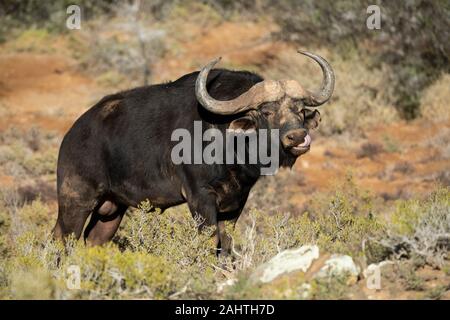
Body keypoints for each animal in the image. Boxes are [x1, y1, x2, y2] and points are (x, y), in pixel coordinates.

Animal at [52, 50, 334, 255]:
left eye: (300, 109)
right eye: (266, 111)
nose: (298, 137)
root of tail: (72, 135)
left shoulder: (235, 203)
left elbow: (226, 245)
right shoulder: (200, 199)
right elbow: (210, 243)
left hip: (111, 210)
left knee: (93, 241)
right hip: (76, 200)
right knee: (62, 238)